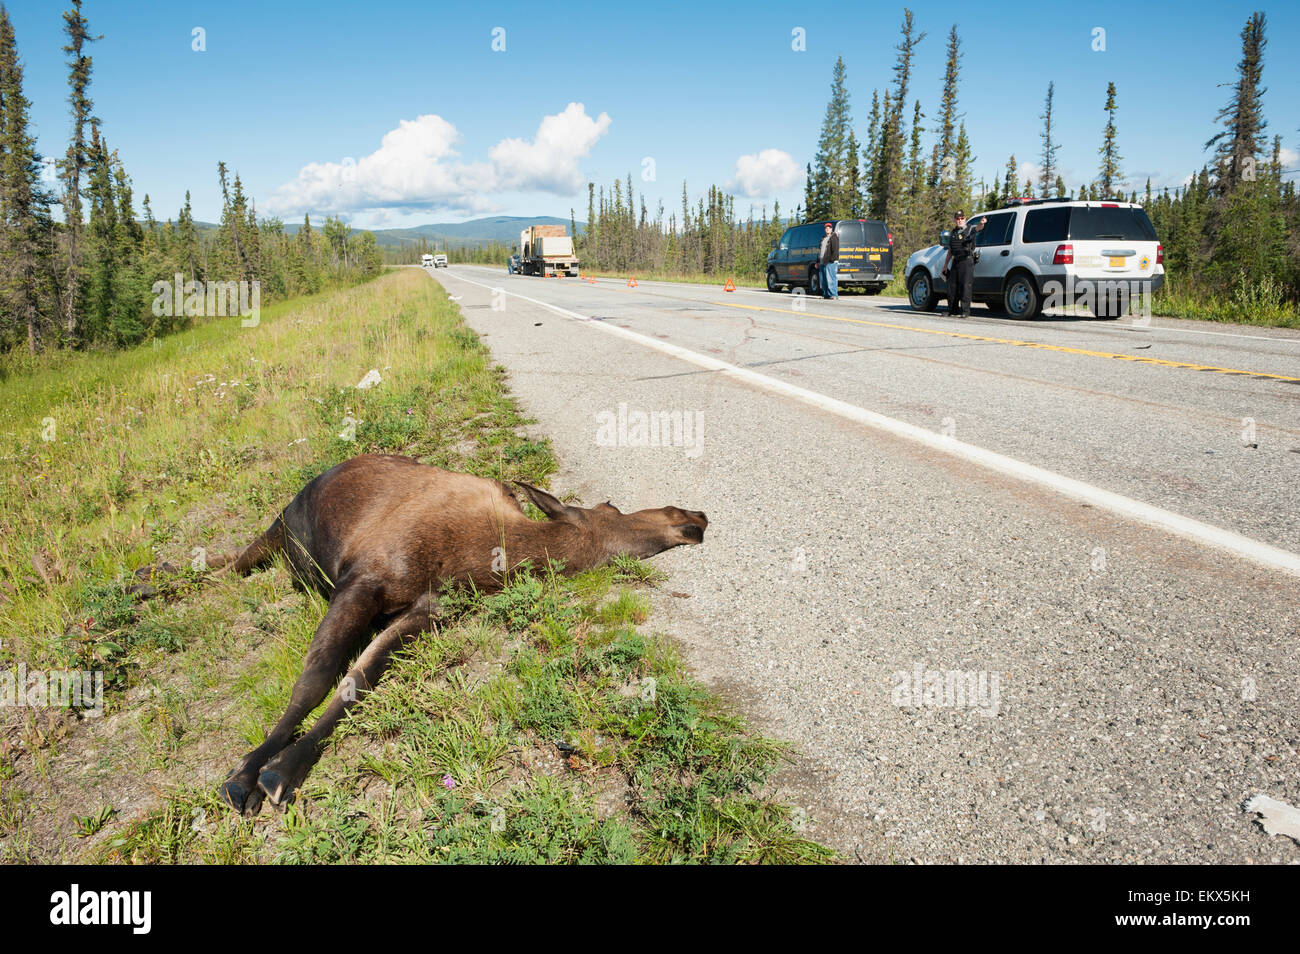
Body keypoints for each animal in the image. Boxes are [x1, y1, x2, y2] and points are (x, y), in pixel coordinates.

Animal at [136, 453, 708, 816]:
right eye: (611, 508)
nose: (695, 515)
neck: (480, 554)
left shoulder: (425, 612)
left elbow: (359, 678)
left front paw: (285, 768)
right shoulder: (361, 579)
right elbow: (316, 677)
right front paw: (249, 772)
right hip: (280, 525)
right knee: (236, 560)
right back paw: (150, 576)